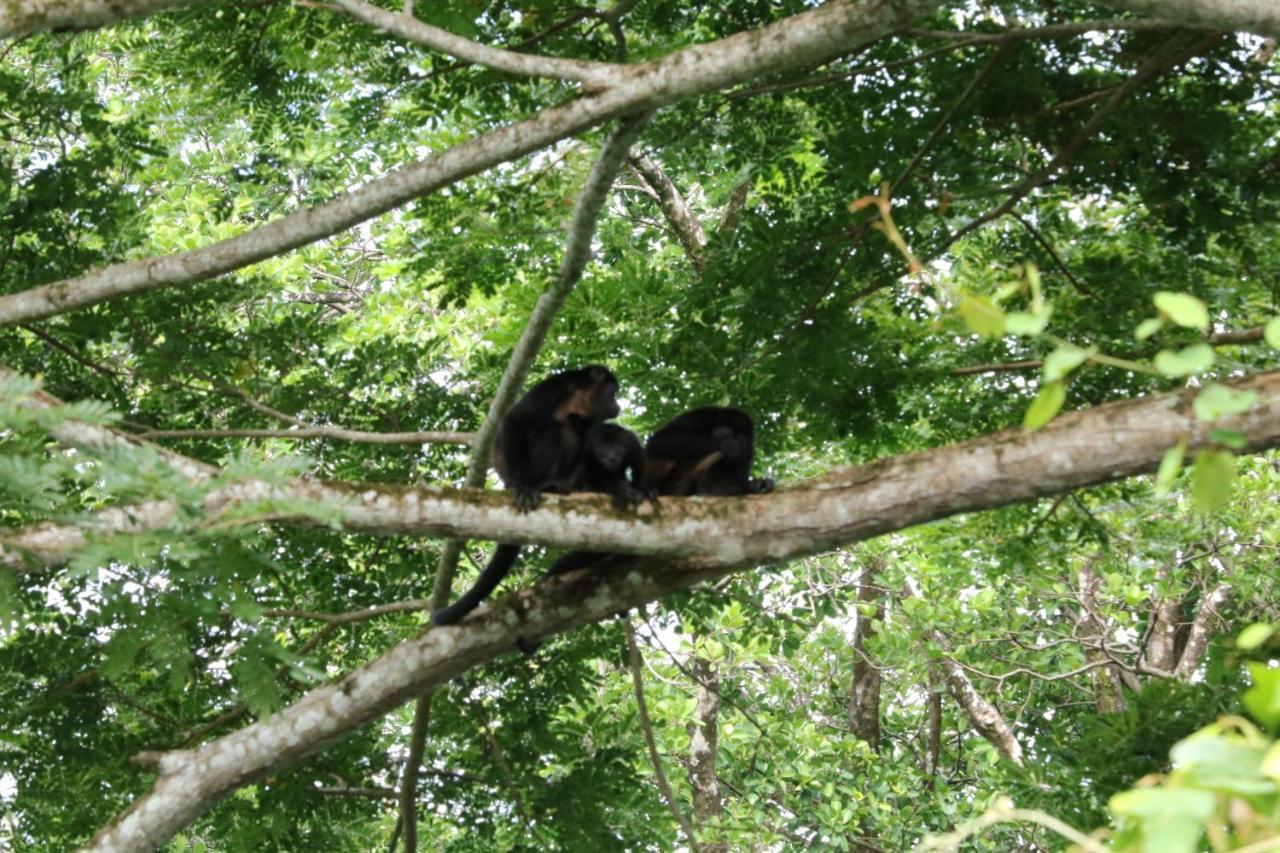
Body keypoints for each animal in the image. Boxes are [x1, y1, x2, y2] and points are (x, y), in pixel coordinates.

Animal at [435, 366, 645, 625]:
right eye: (612, 391)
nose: (617, 403)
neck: (578, 399)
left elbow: (592, 445)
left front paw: (618, 484)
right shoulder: (552, 389)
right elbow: (516, 421)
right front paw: (521, 485)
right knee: (557, 432)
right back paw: (543, 485)